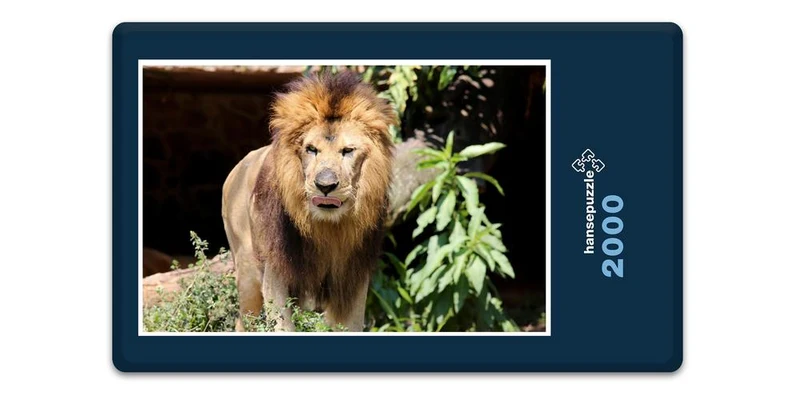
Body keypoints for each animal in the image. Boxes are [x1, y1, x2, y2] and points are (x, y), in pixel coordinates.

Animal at [221, 71, 396, 332]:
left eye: (347, 151)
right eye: (311, 149)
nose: (325, 186)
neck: (327, 229)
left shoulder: (354, 278)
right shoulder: (276, 273)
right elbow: (282, 325)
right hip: (247, 271)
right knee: (244, 321)